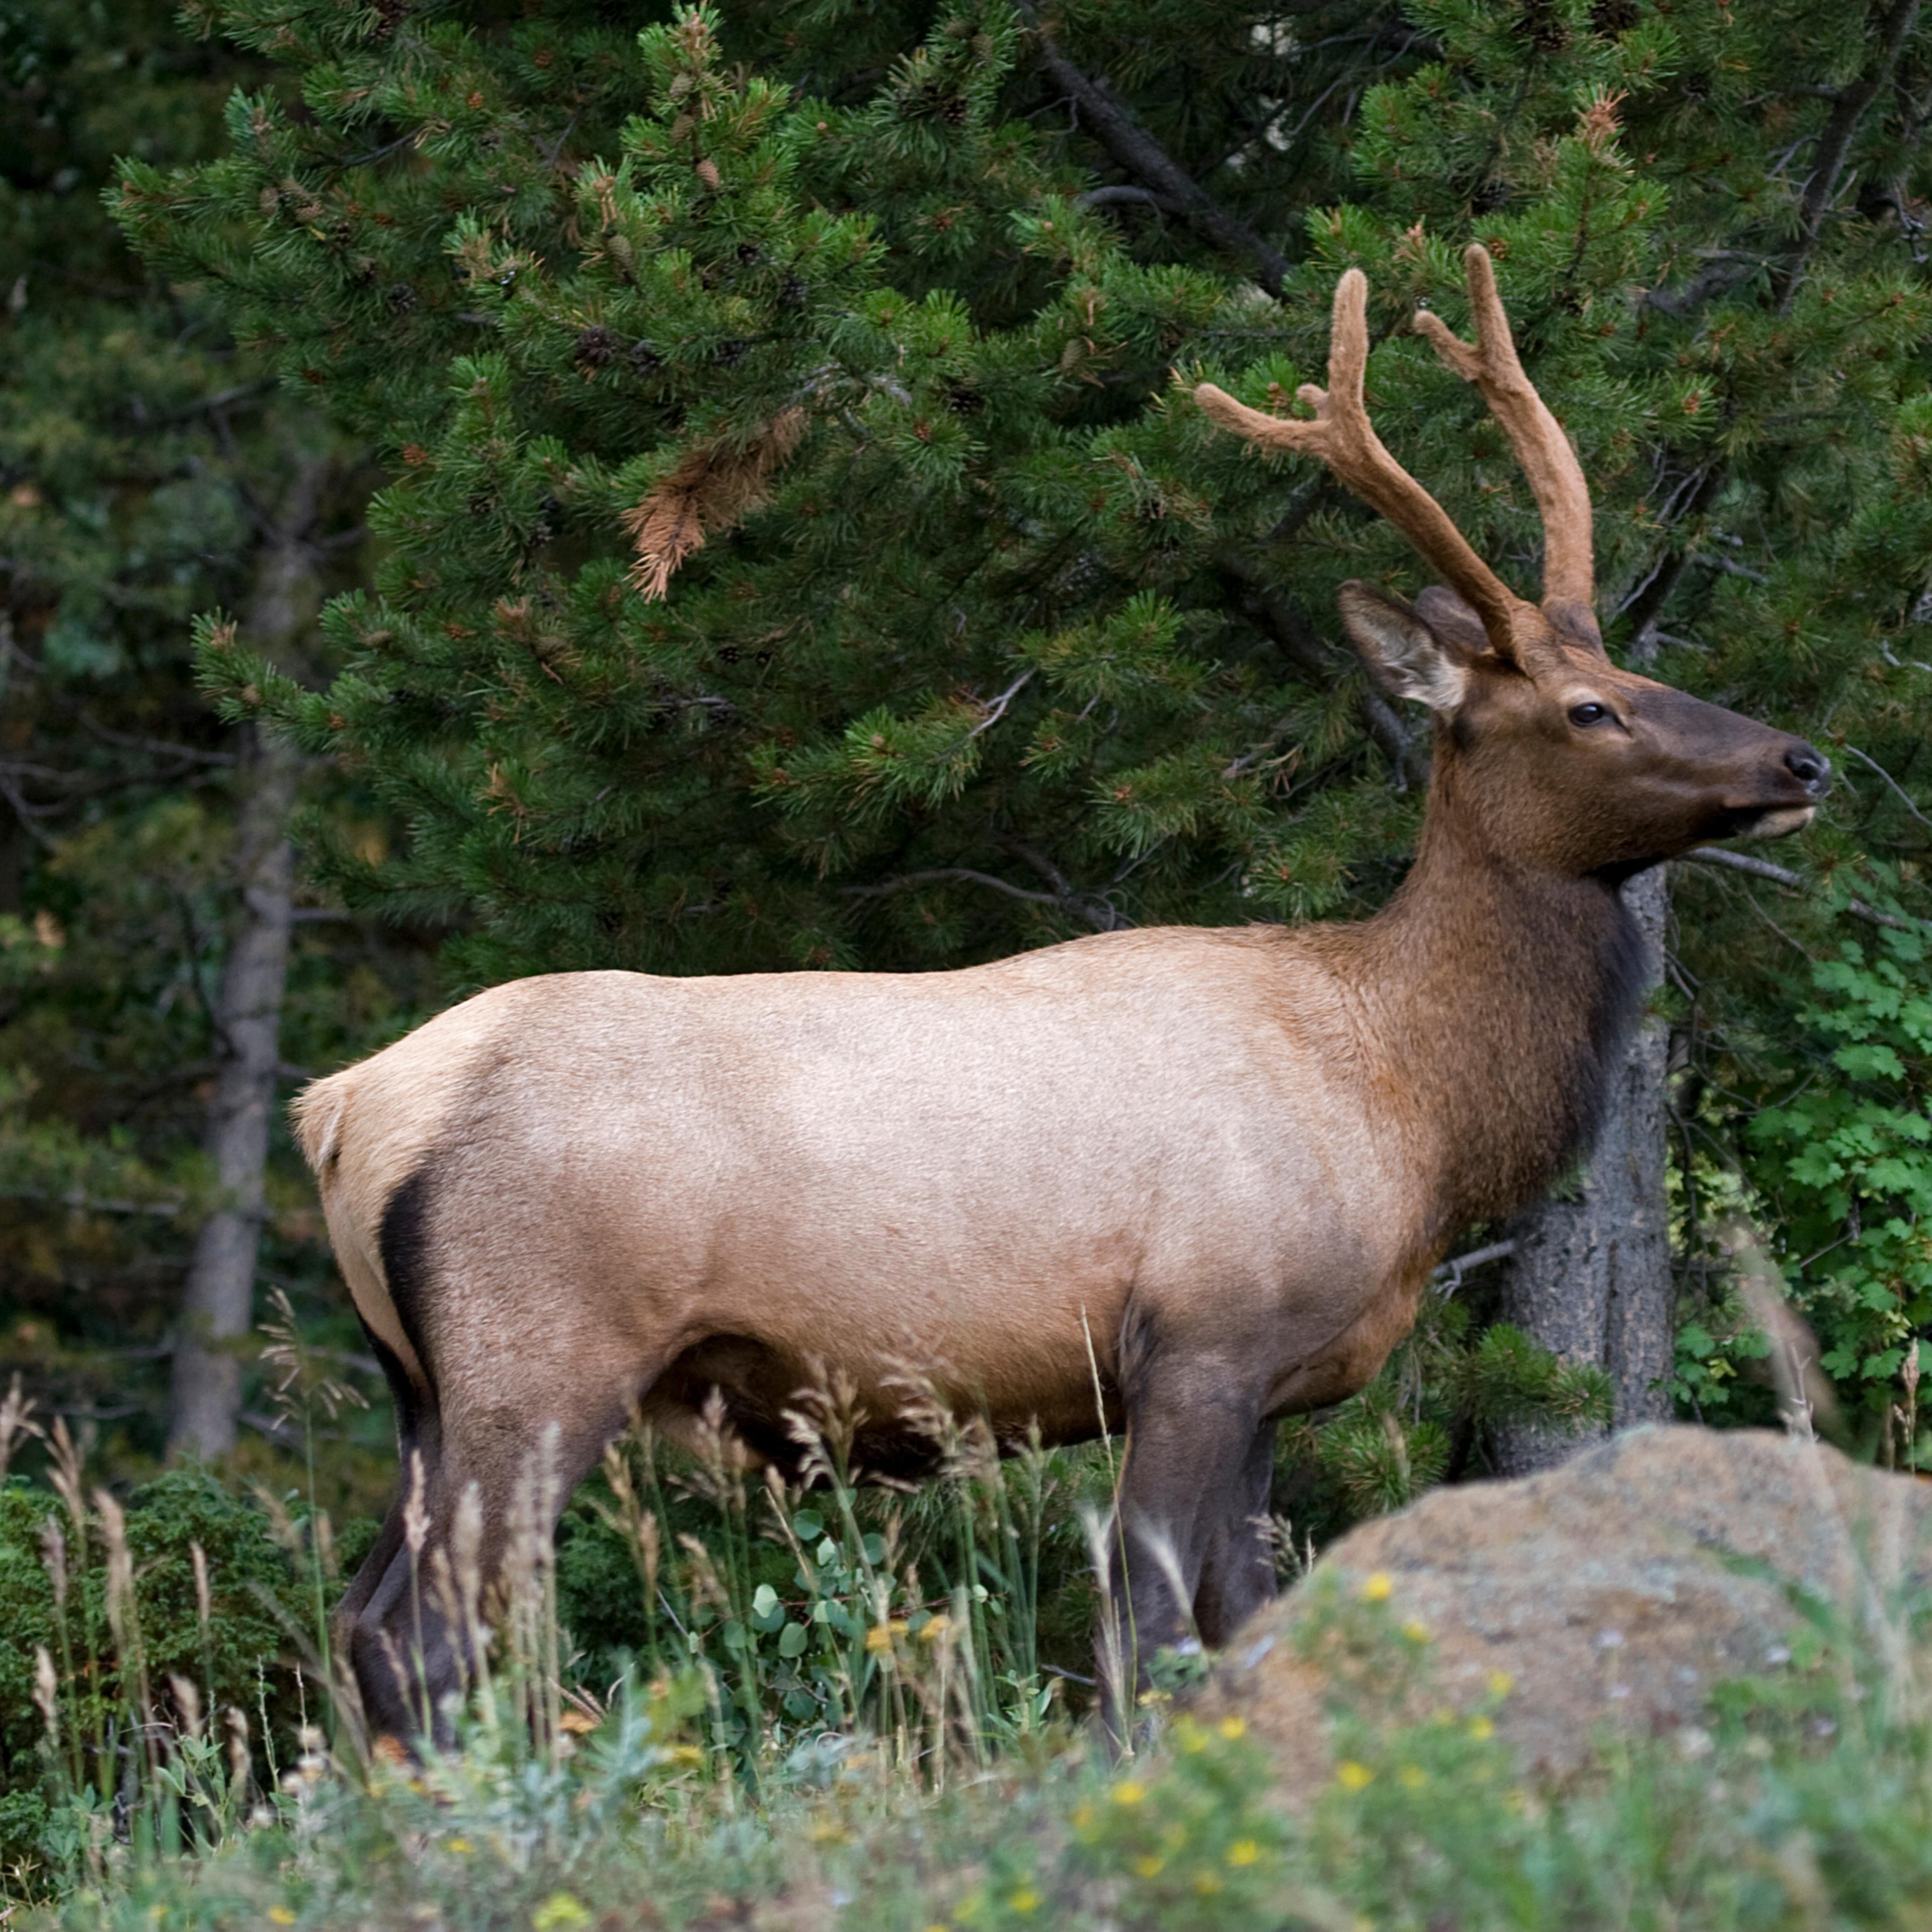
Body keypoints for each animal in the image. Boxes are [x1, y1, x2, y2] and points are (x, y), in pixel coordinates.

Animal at [296, 247, 1829, 1743]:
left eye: (1631, 666)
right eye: (1589, 709)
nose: (1799, 760)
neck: (1409, 1100)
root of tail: (342, 1107)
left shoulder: (1271, 1382)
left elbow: (1243, 1622)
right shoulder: (1200, 1333)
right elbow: (1147, 1638)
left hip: (423, 1389)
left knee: (362, 1622)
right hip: (536, 1357)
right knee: (430, 1637)